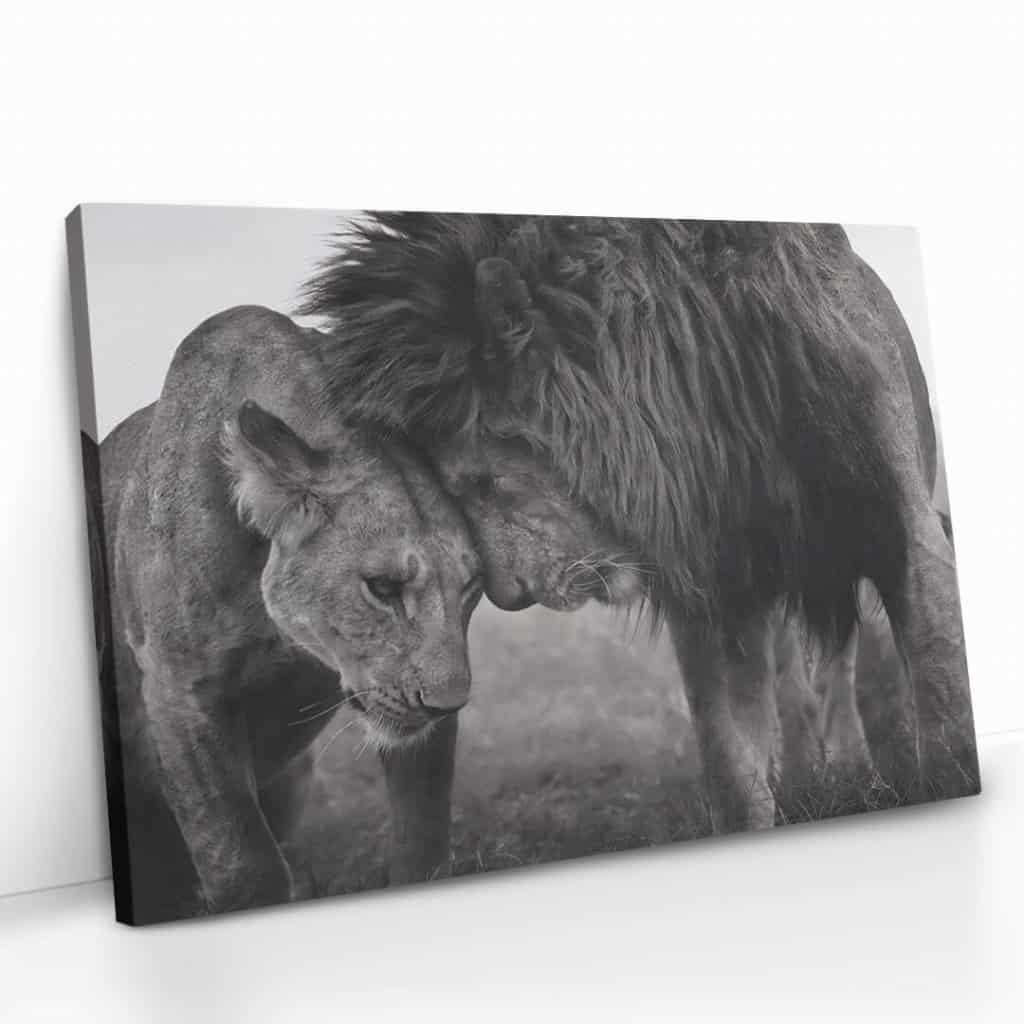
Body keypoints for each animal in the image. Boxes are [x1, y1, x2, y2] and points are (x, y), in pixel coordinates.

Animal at [96, 305, 481, 923]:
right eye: (382, 587)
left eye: (471, 587)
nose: (449, 703)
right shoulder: (180, 689)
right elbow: (240, 859)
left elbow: (423, 833)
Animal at [300, 214, 979, 832]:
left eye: (478, 481)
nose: (510, 596)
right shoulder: (711, 588)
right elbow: (732, 763)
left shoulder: (907, 533)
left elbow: (944, 711)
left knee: (837, 662)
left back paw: (855, 773)